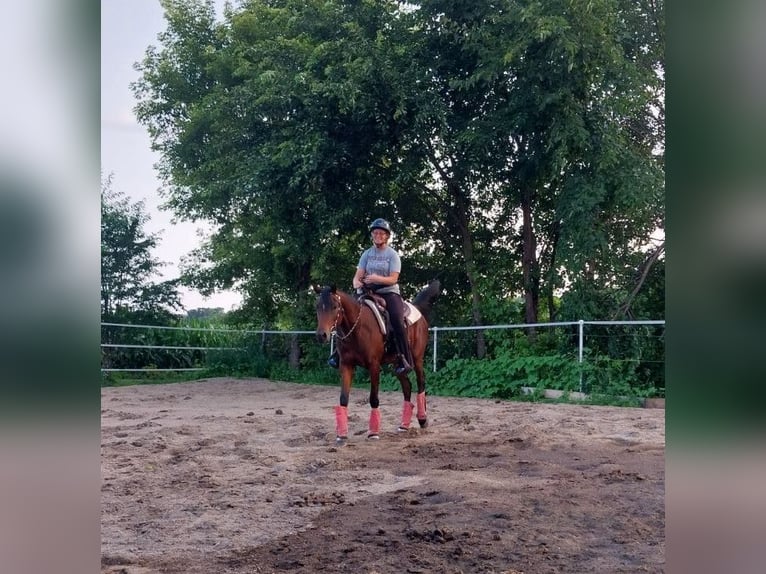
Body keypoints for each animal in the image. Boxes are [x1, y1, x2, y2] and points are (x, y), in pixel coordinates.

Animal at [314, 282, 444, 448]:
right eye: (318, 306)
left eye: (335, 306)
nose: (321, 335)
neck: (358, 327)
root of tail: (416, 310)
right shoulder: (346, 366)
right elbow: (343, 398)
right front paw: (341, 436)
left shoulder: (374, 366)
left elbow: (373, 398)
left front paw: (374, 433)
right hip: (398, 364)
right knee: (407, 387)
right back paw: (404, 425)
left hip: (417, 359)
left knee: (421, 383)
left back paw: (422, 419)